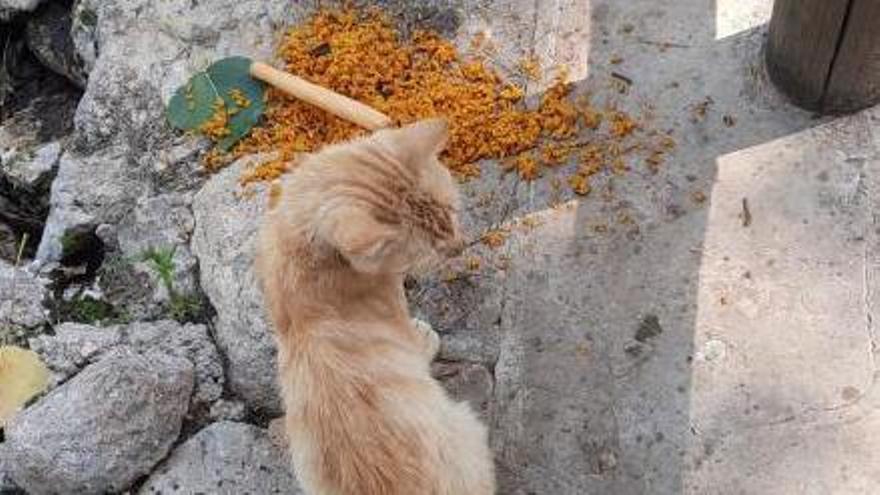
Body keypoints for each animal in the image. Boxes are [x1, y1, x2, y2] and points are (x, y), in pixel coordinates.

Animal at [258, 120, 498, 495]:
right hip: (467, 425)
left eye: (452, 213)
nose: (459, 247)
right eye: (422, 252)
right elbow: (413, 338)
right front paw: (423, 336)